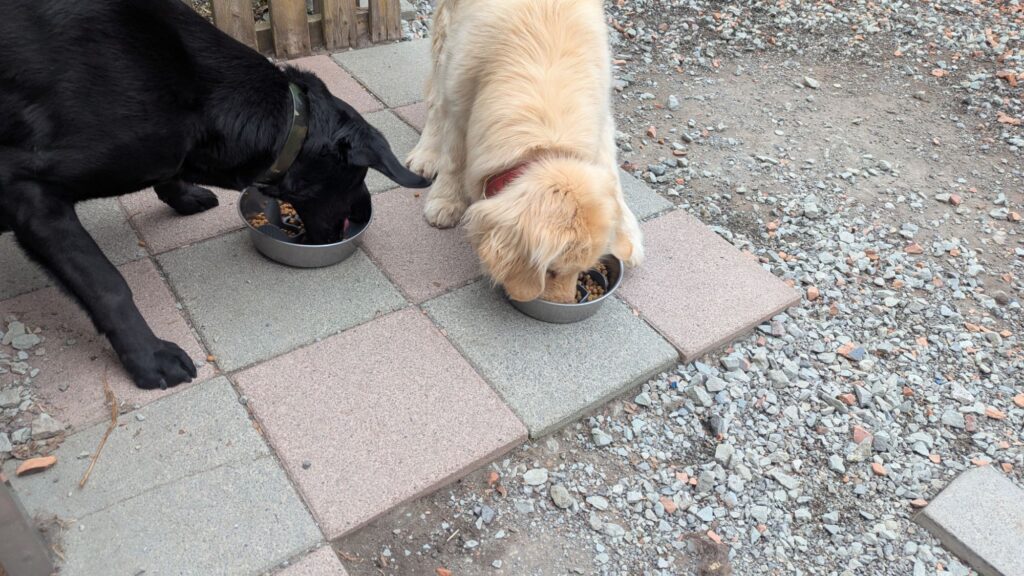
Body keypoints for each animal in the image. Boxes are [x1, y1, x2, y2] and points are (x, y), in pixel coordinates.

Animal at [0, 0, 430, 389]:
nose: (358, 215)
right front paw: (149, 356)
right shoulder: (30, 195)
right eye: (358, 176)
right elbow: (108, 285)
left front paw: (183, 194)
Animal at [405, 0, 644, 303]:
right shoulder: (459, 98)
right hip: (445, 37)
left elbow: (612, 174)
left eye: (583, 270)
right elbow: (454, 159)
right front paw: (446, 201)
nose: (568, 302)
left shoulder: (603, 120)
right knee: (435, 100)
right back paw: (426, 154)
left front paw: (628, 233)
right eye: (551, 271)